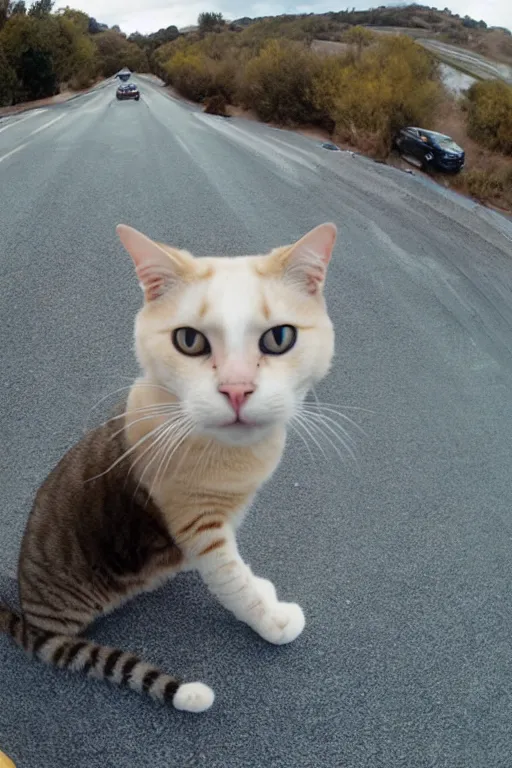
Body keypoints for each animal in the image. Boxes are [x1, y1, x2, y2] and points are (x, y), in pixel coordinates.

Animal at [0, 222, 338, 712]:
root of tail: (29, 615)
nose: (237, 390)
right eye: (189, 341)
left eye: (279, 338)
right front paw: (273, 621)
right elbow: (235, 585)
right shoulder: (200, 527)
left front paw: (264, 591)